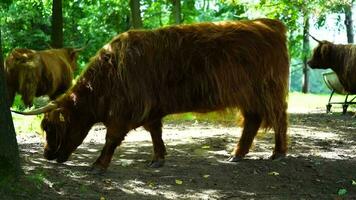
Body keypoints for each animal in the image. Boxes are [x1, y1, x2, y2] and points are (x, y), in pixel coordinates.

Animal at [14, 18, 292, 173]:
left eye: (51, 127)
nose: (47, 155)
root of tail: (270, 24)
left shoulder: (126, 108)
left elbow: (111, 137)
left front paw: (98, 165)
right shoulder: (150, 108)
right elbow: (155, 132)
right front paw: (158, 159)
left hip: (267, 91)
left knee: (278, 118)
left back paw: (278, 153)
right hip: (249, 96)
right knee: (253, 120)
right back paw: (236, 154)